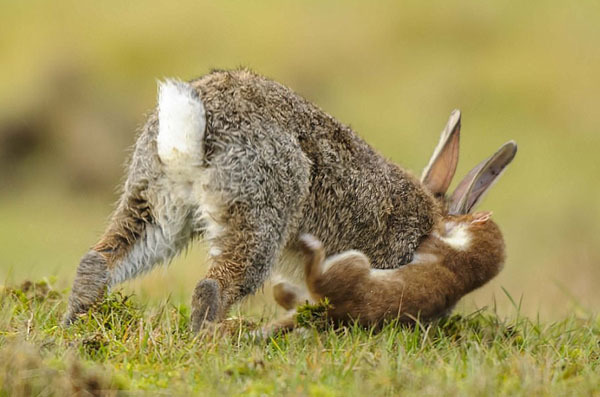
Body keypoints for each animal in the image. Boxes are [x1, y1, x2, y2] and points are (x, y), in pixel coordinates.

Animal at [64, 69, 464, 332]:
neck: (429, 232)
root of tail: (197, 119)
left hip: (157, 204)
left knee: (99, 262)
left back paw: (74, 325)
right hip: (258, 212)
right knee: (215, 287)